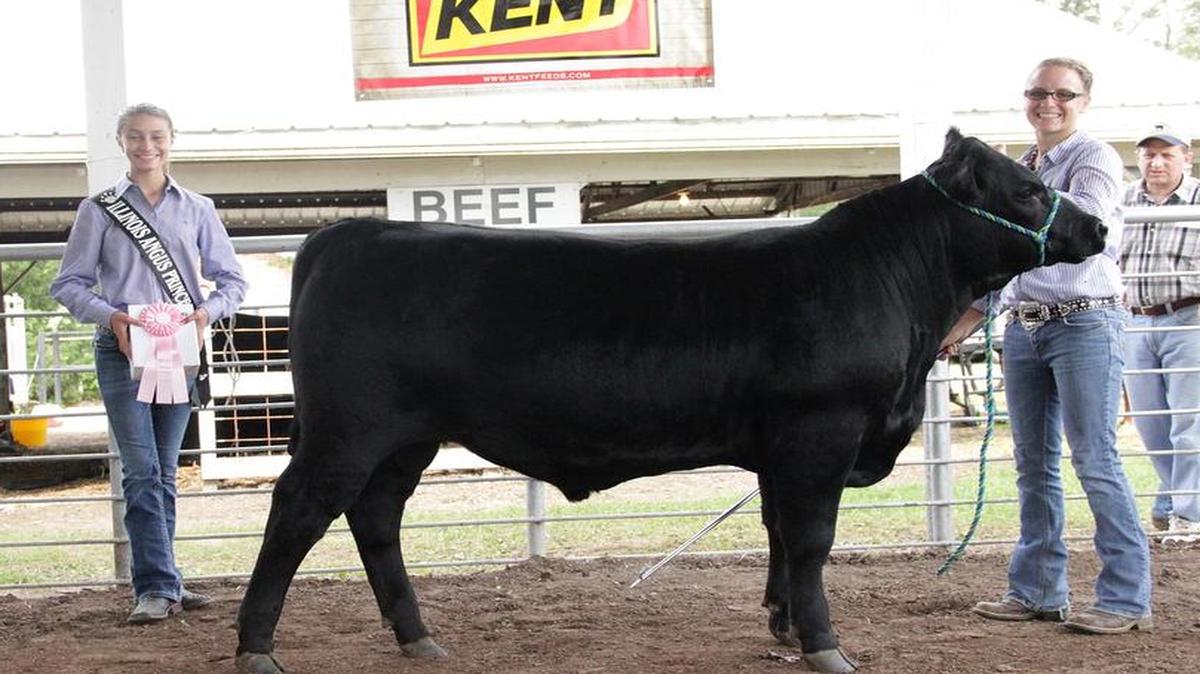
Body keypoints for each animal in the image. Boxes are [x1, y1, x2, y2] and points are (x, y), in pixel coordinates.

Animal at [234, 129, 1106, 673]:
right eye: (1028, 188)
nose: (1097, 228)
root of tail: (351, 233)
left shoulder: (779, 449)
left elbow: (779, 536)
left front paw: (782, 625)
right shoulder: (820, 433)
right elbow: (812, 541)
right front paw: (826, 643)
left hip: (404, 438)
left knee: (376, 519)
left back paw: (418, 638)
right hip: (348, 431)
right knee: (297, 515)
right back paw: (256, 645)